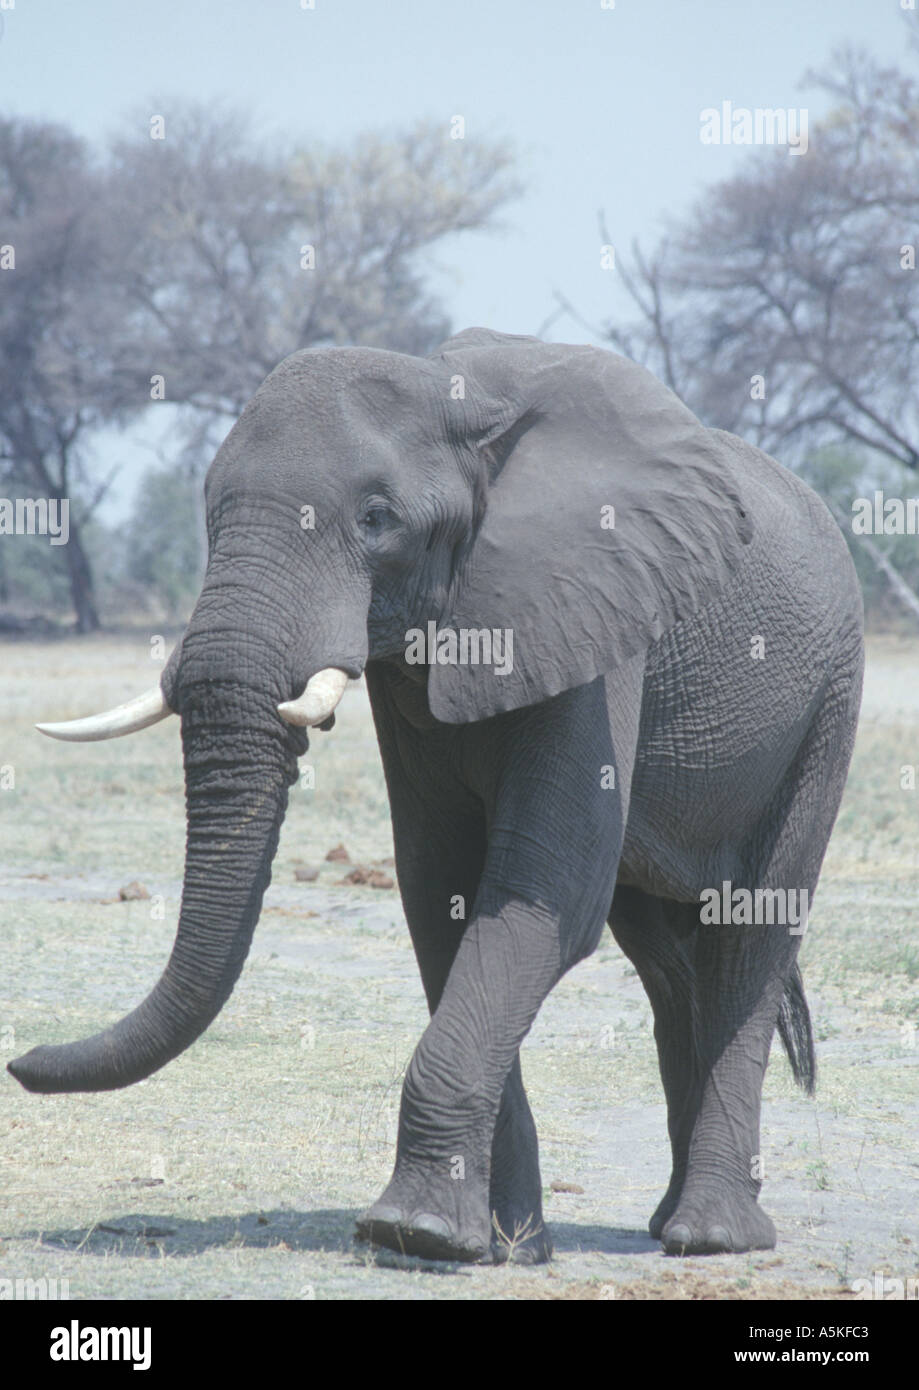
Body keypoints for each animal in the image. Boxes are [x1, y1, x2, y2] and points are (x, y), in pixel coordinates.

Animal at [9, 327, 864, 1265]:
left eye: (376, 519)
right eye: (208, 510)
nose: (21, 1060)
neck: (454, 394)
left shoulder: (594, 617)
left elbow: (546, 895)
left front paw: (411, 1232)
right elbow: (440, 894)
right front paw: (499, 1244)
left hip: (828, 702)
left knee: (749, 936)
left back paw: (711, 1238)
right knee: (666, 960)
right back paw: (664, 1223)